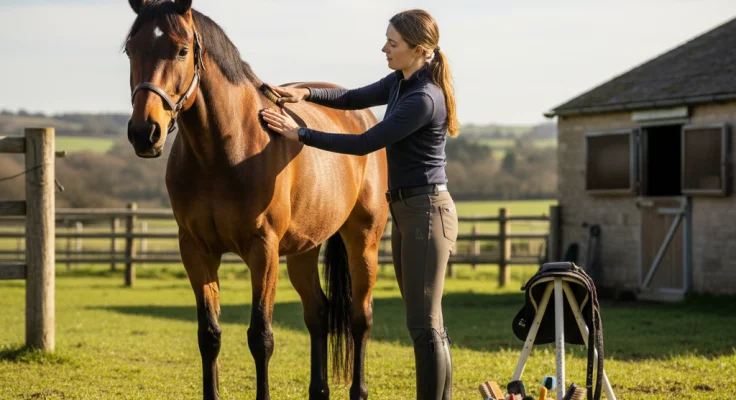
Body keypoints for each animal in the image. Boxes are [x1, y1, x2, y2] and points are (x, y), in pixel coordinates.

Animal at [123, 1, 389, 399]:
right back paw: (319, 390)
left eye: (182, 50)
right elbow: (209, 336)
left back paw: (358, 389)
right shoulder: (196, 250)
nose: (144, 132)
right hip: (304, 249)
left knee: (360, 319)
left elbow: (260, 337)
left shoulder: (263, 250)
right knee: (318, 314)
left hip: (363, 241)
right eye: (130, 50)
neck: (224, 150)